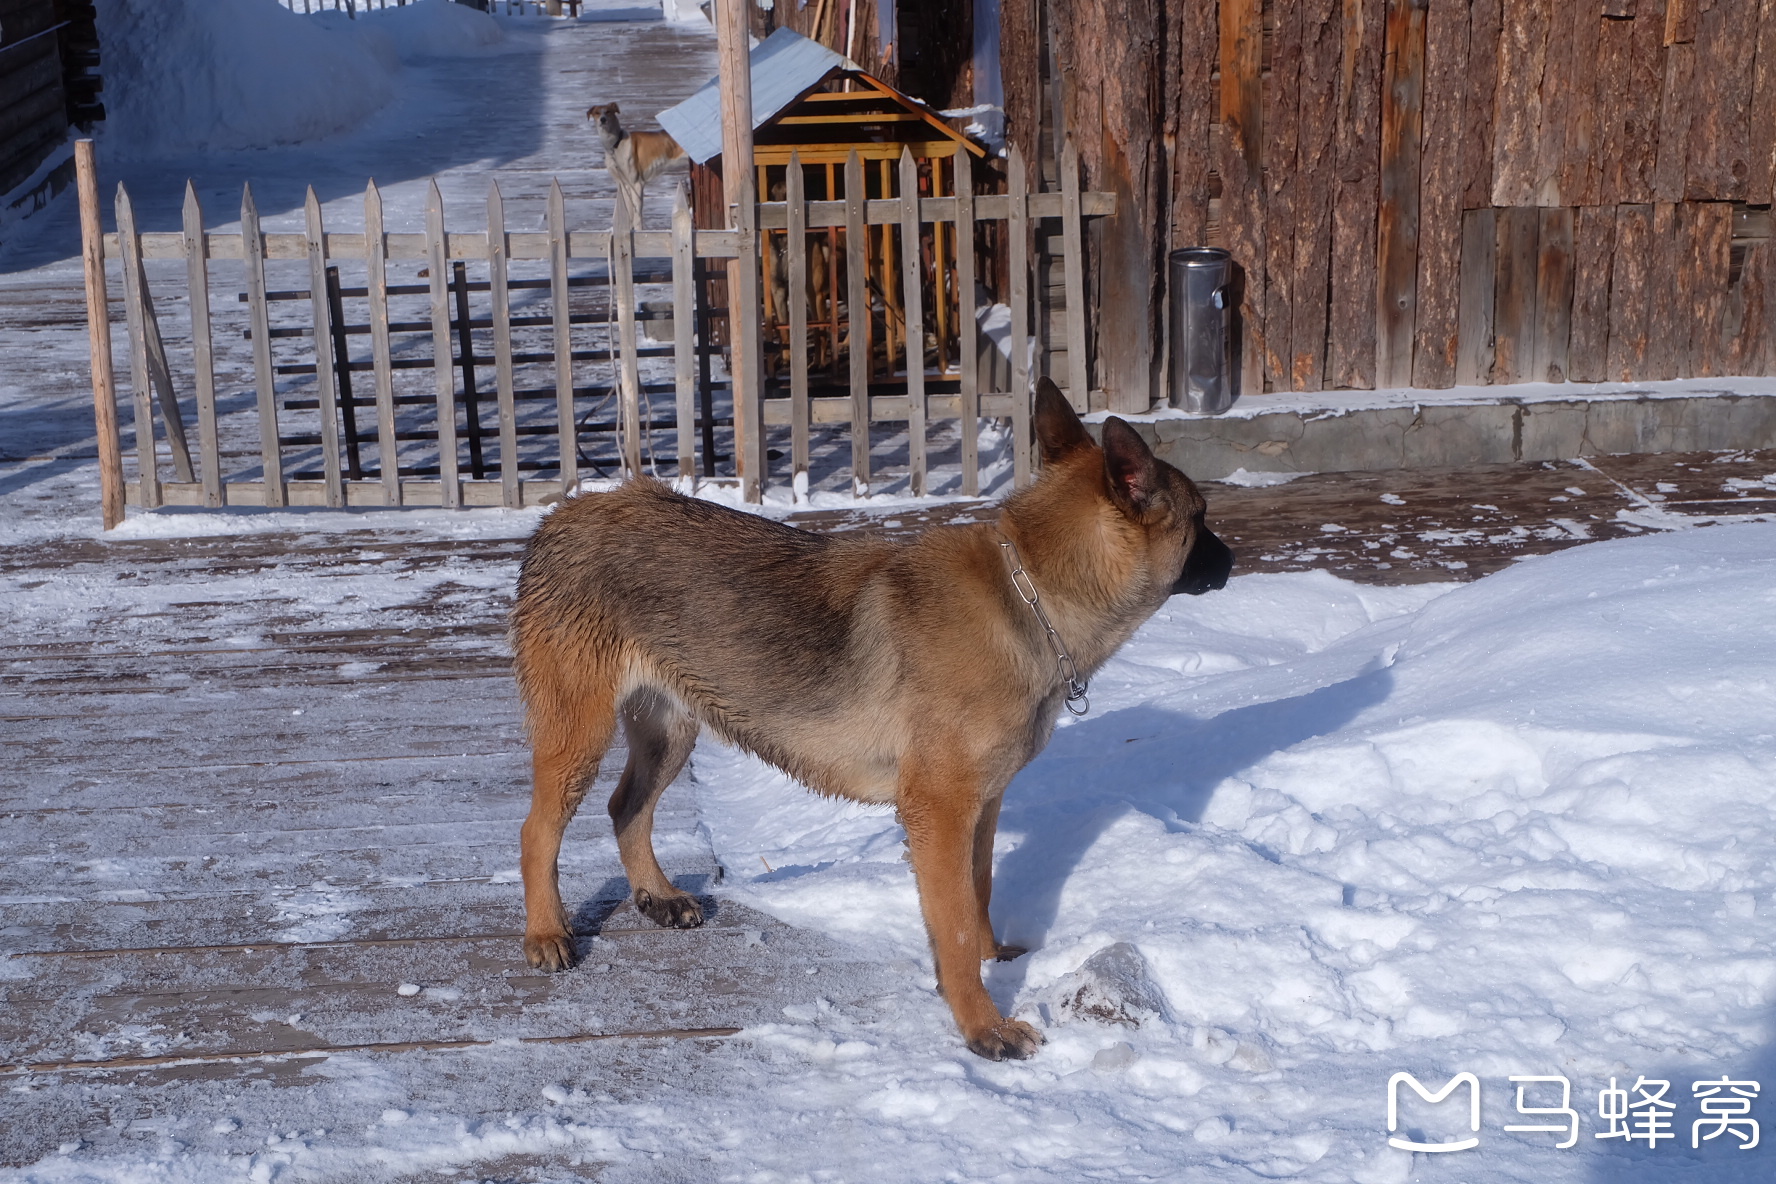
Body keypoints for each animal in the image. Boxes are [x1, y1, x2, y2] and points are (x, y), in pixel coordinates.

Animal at [515, 381, 1236, 1065]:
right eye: (1200, 517)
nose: (1231, 562)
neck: (1028, 594)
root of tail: (565, 514)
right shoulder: (939, 810)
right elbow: (953, 921)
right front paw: (983, 1026)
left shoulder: (982, 805)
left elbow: (978, 894)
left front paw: (993, 962)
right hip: (579, 736)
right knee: (538, 831)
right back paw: (547, 932)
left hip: (671, 730)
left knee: (626, 808)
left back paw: (657, 894)